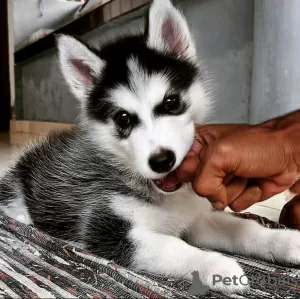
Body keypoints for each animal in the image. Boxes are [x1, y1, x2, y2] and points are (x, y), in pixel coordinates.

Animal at [1, 0, 300, 296]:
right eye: (123, 118)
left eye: (171, 102)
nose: (161, 160)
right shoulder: (108, 229)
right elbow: (174, 246)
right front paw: (218, 266)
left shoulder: (197, 220)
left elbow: (242, 228)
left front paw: (283, 241)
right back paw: (21, 216)